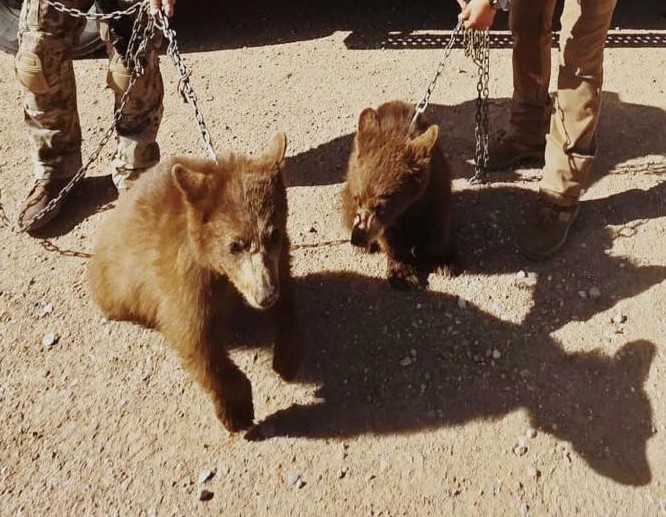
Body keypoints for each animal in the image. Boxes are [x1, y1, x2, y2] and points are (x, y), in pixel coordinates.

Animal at [88, 133, 302, 433]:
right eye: (235, 245)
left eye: (274, 234)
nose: (265, 295)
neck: (222, 273)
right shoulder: (182, 277)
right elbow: (195, 339)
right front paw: (237, 411)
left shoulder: (277, 258)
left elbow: (286, 295)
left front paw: (286, 357)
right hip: (118, 285)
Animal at [342, 100, 455, 289]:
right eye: (358, 199)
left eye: (381, 206)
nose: (356, 239)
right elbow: (389, 238)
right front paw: (403, 273)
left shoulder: (436, 186)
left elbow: (439, 222)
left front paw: (443, 261)